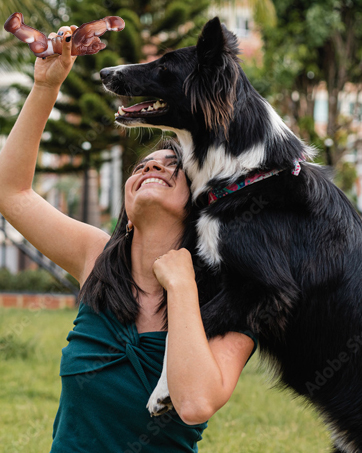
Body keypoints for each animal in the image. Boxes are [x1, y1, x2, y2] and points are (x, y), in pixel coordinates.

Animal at [100, 16, 362, 448]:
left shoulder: (267, 288)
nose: (105, 72)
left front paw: (162, 392)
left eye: (164, 64)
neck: (245, 175)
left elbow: (184, 328)